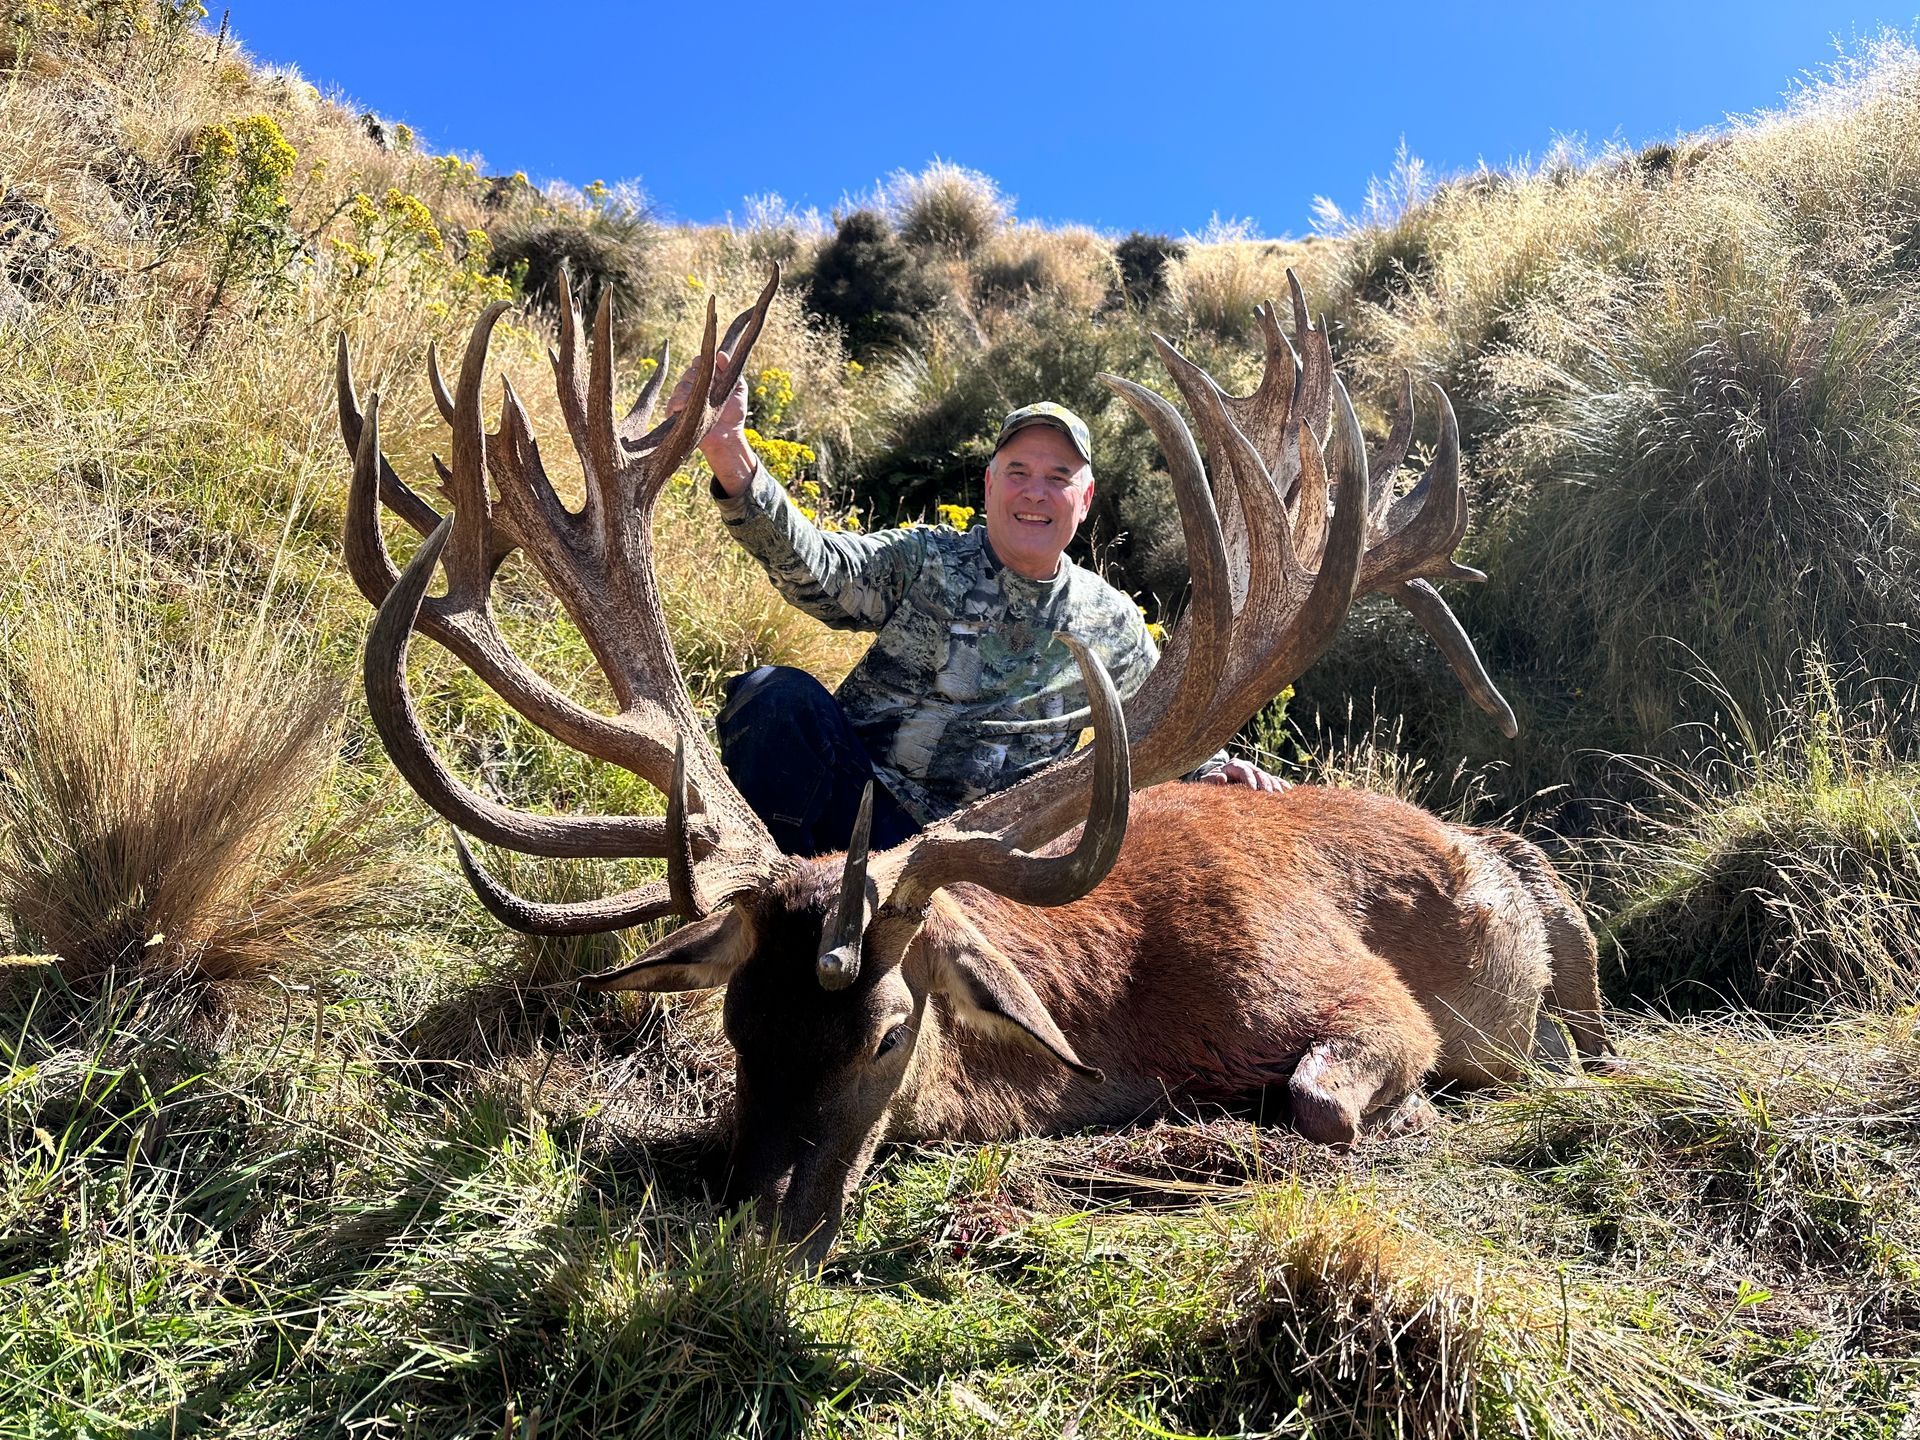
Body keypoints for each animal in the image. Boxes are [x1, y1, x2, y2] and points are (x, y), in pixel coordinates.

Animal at [336, 266, 1607, 1266]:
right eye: (738, 1021)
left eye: (890, 1033)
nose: (755, 1226)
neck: (1124, 1014)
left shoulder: (1360, 998)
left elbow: (1320, 1103)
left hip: (1550, 899)